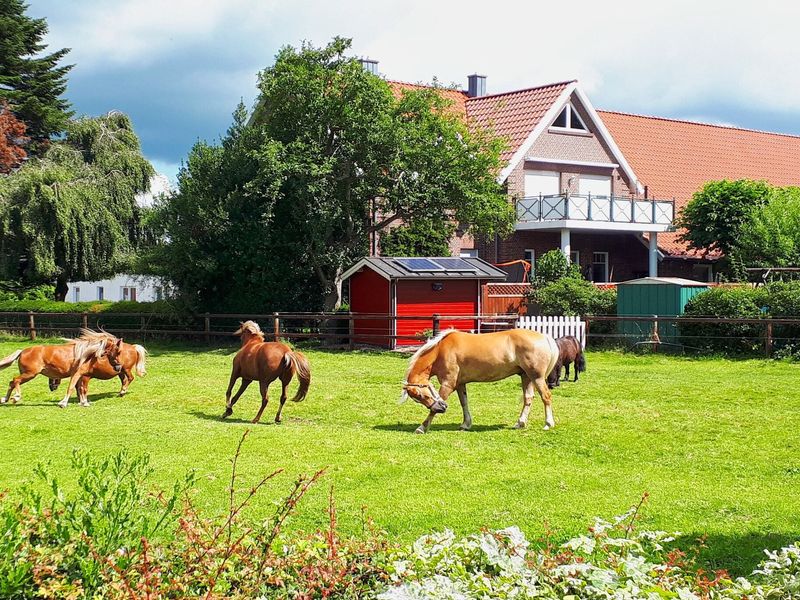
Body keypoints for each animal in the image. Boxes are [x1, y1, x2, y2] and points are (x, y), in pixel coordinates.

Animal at [400, 328, 564, 432]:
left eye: (420, 394)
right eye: (417, 399)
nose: (442, 407)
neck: (441, 351)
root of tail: (544, 337)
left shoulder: (448, 384)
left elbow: (434, 409)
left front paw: (421, 428)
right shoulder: (460, 384)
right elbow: (464, 403)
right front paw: (466, 424)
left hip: (536, 377)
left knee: (546, 397)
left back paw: (548, 423)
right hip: (526, 376)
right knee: (528, 398)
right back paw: (520, 423)